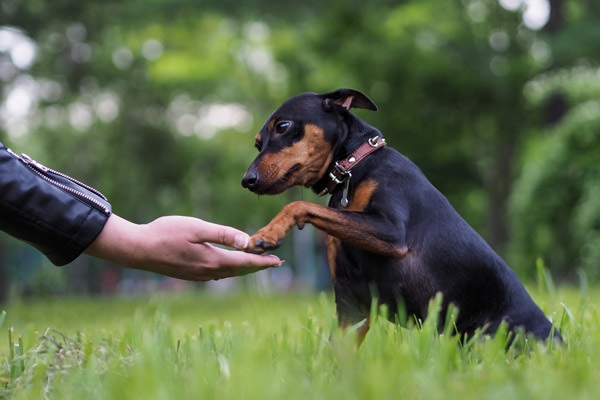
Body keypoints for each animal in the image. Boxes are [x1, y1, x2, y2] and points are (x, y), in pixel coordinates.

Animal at [240, 89, 564, 342]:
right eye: (257, 143)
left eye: (283, 126)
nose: (247, 180)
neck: (354, 166)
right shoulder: (351, 303)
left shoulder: (391, 232)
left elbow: (297, 205)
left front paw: (267, 233)